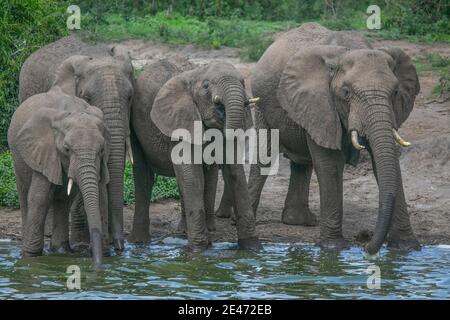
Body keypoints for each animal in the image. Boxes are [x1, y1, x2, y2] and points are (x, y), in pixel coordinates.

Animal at [7, 85, 110, 264]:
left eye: (102, 150)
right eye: (67, 149)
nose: (97, 263)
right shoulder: (43, 151)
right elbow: (39, 198)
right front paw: (31, 256)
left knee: (63, 200)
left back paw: (61, 250)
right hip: (17, 156)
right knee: (25, 194)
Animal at [129, 58, 260, 251]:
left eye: (243, 83)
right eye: (206, 86)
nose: (220, 108)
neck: (195, 74)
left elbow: (235, 174)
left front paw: (252, 248)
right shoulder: (180, 121)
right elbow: (193, 177)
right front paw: (199, 250)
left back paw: (186, 231)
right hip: (136, 129)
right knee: (143, 176)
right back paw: (139, 243)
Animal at [218, 21, 422, 255]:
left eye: (396, 91)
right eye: (346, 93)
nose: (366, 245)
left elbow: (388, 164)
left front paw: (408, 247)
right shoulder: (320, 102)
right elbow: (330, 164)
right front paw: (333, 247)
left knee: (301, 162)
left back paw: (299, 221)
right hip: (262, 106)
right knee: (266, 157)